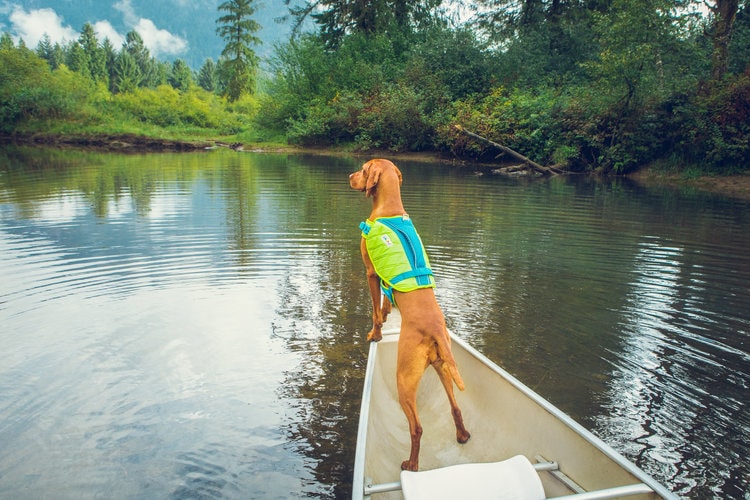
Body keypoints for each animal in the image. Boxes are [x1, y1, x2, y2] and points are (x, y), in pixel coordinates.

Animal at [352, 158, 470, 470]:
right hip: (443, 367)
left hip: (404, 378)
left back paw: (411, 464)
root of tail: (437, 331)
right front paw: (385, 314)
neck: (389, 209)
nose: (350, 176)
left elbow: (374, 310)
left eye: (363, 168)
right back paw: (462, 435)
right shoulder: (382, 281)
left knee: (416, 427)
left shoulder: (370, 272)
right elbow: (383, 303)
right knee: (455, 407)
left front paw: (375, 333)